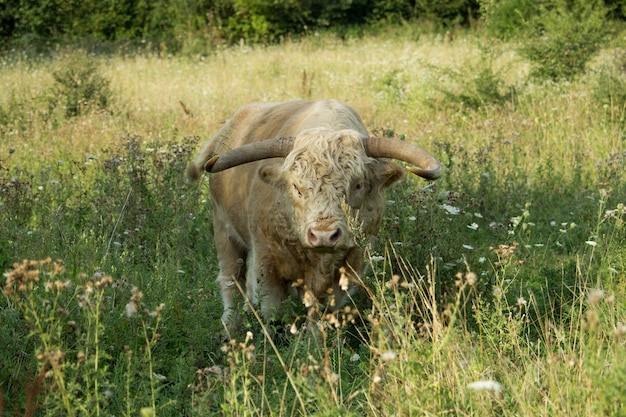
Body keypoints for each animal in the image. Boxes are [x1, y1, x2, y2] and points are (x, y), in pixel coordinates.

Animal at [185, 100, 438, 334]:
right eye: (296, 188)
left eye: (357, 185)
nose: (323, 235)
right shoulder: (266, 263)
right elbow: (272, 311)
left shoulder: (351, 265)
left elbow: (320, 315)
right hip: (224, 230)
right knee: (231, 281)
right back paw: (231, 327)